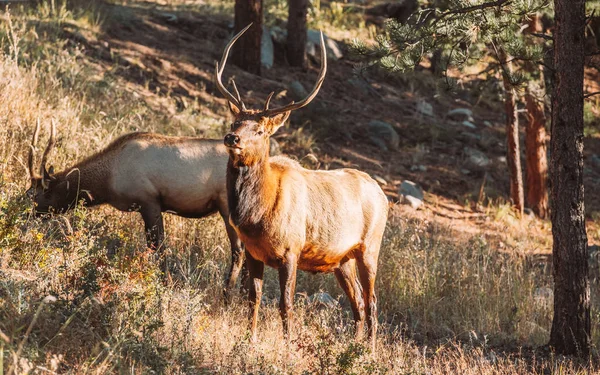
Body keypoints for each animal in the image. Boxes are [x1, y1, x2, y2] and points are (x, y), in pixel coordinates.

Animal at [25, 120, 246, 296]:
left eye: (37, 195)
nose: (26, 214)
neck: (107, 182)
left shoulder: (149, 202)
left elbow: (158, 247)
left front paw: (164, 284)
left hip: (227, 207)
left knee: (238, 252)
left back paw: (227, 296)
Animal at [216, 24, 390, 352]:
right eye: (235, 121)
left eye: (260, 130)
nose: (232, 138)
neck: (255, 215)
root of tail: (384, 195)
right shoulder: (253, 252)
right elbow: (253, 298)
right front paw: (248, 340)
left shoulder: (290, 250)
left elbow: (285, 304)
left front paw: (286, 347)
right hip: (342, 259)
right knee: (358, 303)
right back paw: (354, 346)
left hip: (369, 246)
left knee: (373, 301)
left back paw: (370, 352)